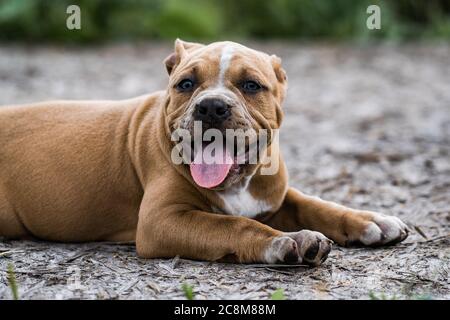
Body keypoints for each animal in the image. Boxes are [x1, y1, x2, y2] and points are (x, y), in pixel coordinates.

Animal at [0, 39, 408, 264]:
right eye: (185, 84)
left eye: (251, 85)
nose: (211, 106)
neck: (238, 184)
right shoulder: (163, 220)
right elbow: (231, 224)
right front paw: (284, 240)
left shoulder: (275, 197)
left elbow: (316, 203)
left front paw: (370, 220)